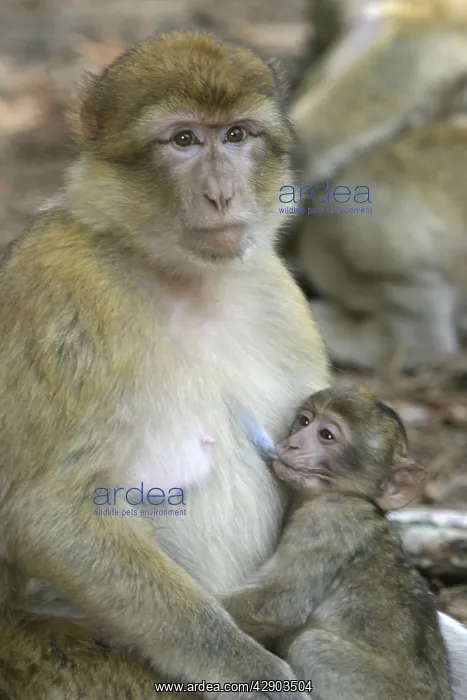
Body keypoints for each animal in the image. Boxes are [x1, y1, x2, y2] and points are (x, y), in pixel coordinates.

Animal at [220, 386, 452, 700]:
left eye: (326, 435)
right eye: (304, 421)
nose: (292, 444)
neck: (347, 495)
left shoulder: (328, 520)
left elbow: (281, 603)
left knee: (311, 647)